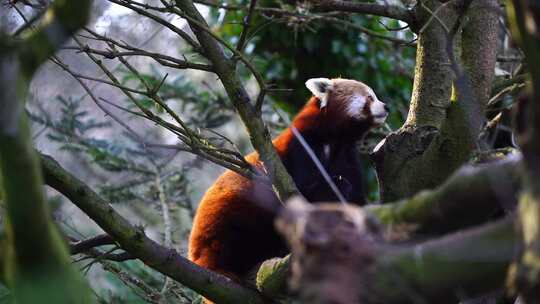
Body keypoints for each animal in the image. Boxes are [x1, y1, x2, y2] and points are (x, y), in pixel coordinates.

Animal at [188, 78, 386, 284]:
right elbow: (303, 191)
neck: (334, 141)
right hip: (229, 216)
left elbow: (356, 197)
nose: (386, 107)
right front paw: (338, 185)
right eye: (370, 97)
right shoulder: (300, 149)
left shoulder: (346, 156)